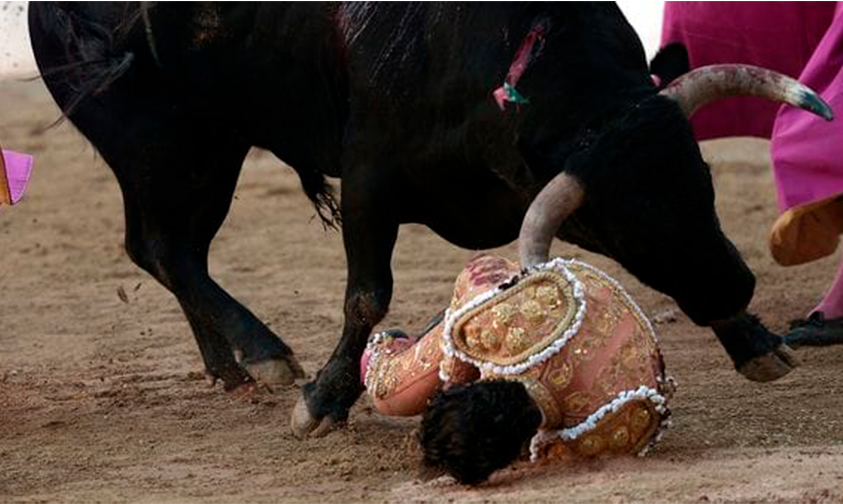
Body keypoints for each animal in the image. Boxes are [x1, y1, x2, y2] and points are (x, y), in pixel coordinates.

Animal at [28, 1, 832, 438]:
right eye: (620, 224)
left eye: (701, 182)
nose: (733, 289)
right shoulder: (369, 177)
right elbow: (365, 296)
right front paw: (321, 401)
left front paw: (755, 342)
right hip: (156, 142)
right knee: (162, 247)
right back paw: (263, 354)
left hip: (209, 147)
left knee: (171, 249)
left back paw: (230, 367)